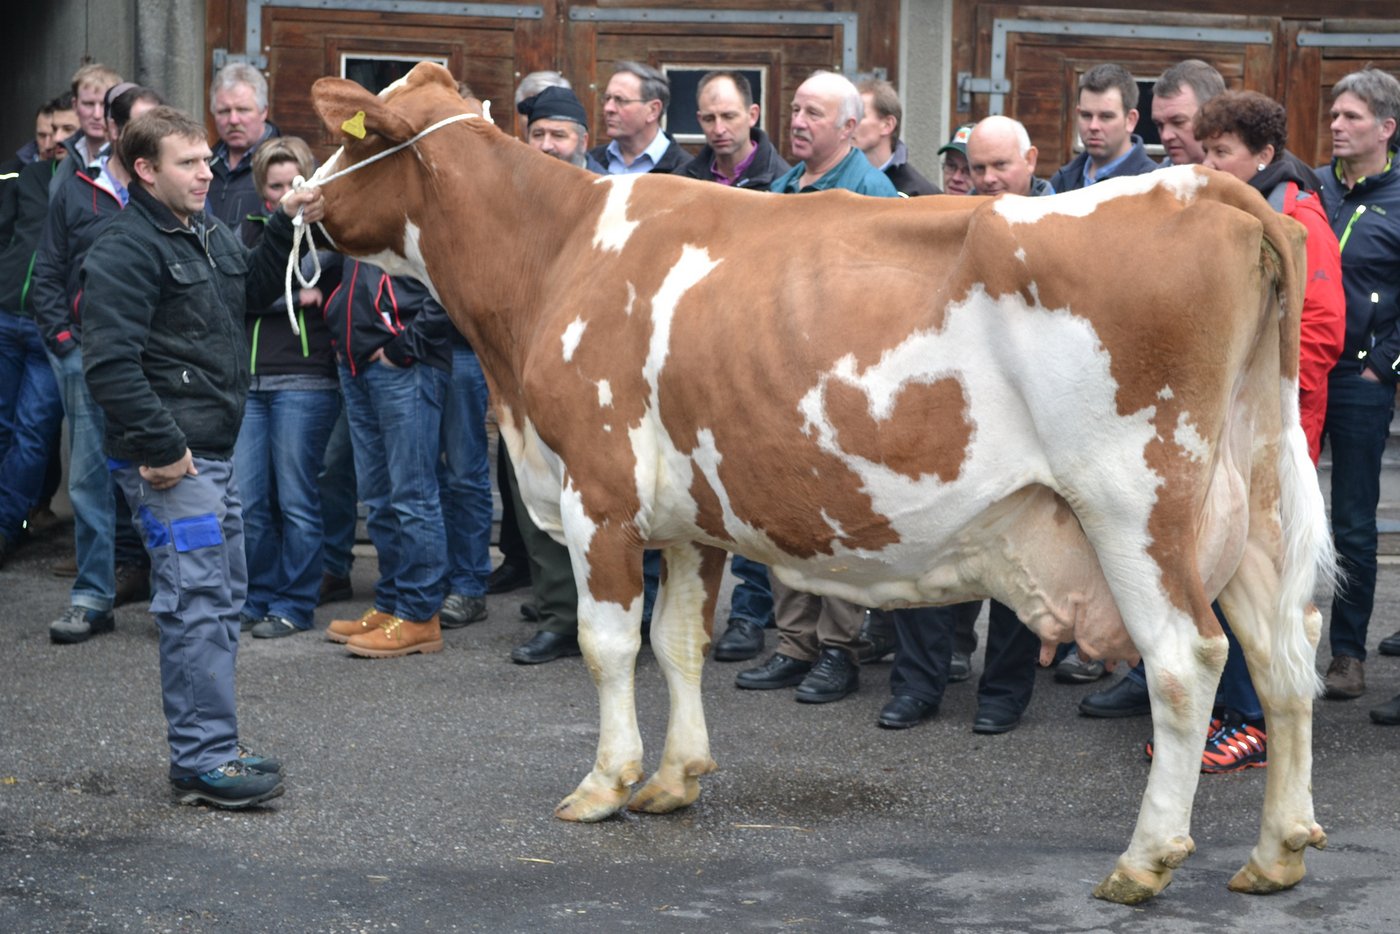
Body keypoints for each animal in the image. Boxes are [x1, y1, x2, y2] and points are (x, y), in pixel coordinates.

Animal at [304, 63, 1332, 904]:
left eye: (352, 136)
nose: (297, 198)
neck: (554, 258)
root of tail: (1204, 187)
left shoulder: (599, 492)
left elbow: (609, 644)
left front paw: (605, 783)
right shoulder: (692, 517)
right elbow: (679, 643)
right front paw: (675, 778)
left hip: (1134, 502)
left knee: (1187, 661)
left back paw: (1144, 861)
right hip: (1249, 504)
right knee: (1285, 657)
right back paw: (1277, 852)